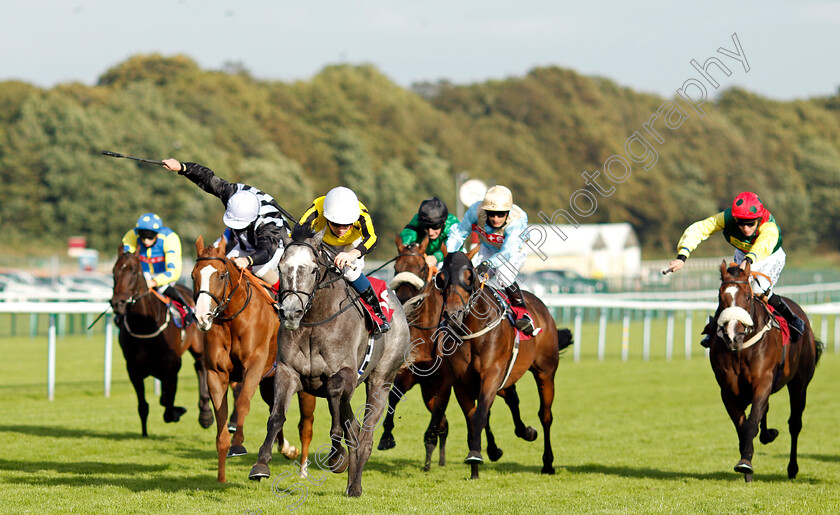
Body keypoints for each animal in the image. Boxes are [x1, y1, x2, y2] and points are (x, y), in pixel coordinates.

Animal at [110, 248, 213, 438]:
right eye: (114, 271)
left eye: (134, 272)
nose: (117, 304)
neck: (144, 324)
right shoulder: (133, 370)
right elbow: (145, 405)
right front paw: (144, 433)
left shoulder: (172, 365)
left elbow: (168, 405)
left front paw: (178, 411)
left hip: (198, 346)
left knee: (201, 366)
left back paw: (205, 415)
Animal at [192, 238, 316, 484]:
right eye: (193, 275)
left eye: (221, 275)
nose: (202, 317)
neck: (232, 319)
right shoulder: (216, 374)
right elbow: (221, 423)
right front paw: (221, 477)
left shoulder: (254, 366)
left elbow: (242, 403)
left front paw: (238, 445)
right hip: (271, 382)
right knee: (276, 411)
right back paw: (287, 449)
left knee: (306, 425)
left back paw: (303, 471)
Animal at [246, 224, 410, 498]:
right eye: (281, 266)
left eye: (313, 268)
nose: (290, 313)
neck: (315, 322)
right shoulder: (287, 371)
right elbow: (277, 416)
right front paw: (261, 464)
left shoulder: (344, 374)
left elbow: (335, 401)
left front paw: (336, 456)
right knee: (354, 428)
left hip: (381, 380)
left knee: (365, 436)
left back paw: (355, 485)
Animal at [426, 250, 572, 480]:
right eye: (441, 279)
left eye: (469, 277)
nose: (453, 314)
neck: (472, 331)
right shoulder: (462, 383)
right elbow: (475, 418)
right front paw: (475, 466)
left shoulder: (492, 374)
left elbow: (479, 416)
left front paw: (475, 456)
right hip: (506, 377)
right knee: (511, 398)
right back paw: (522, 434)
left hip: (545, 372)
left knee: (545, 415)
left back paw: (547, 463)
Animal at [708, 262, 820, 484]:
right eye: (720, 297)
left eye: (747, 297)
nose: (732, 335)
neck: (741, 349)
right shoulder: (728, 390)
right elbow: (743, 427)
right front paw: (747, 467)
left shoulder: (763, 380)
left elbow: (751, 423)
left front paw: (745, 463)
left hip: (799, 384)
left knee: (795, 424)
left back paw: (792, 469)